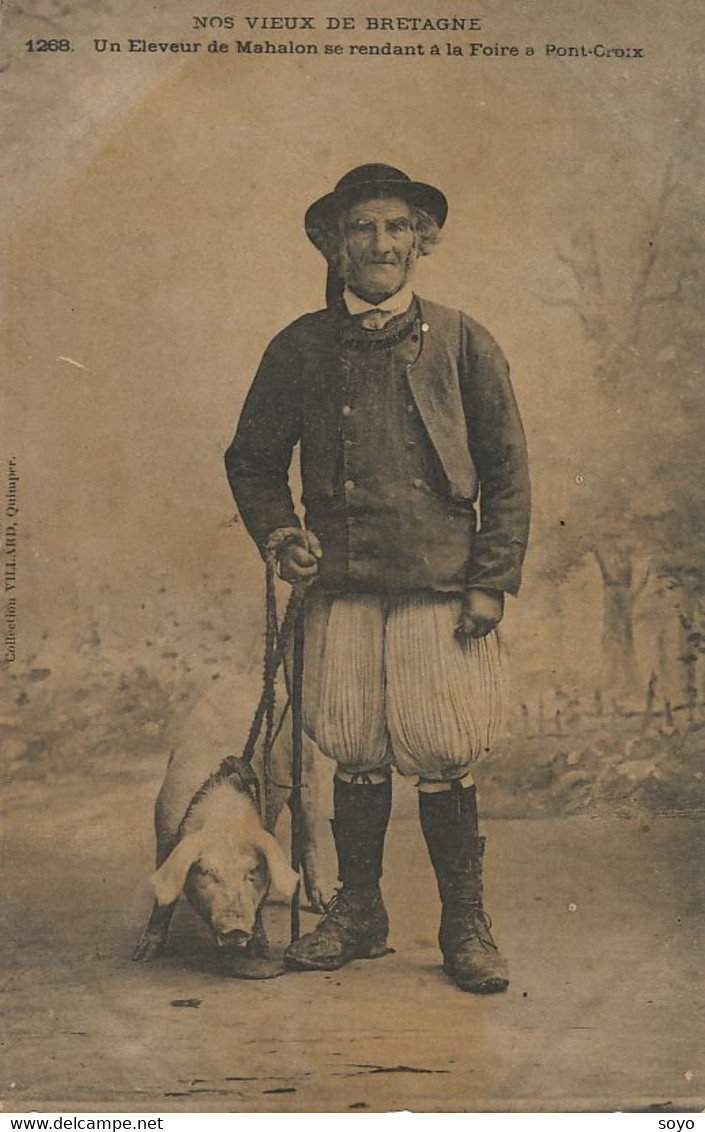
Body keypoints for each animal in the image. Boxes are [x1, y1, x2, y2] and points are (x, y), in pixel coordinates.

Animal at [132, 670, 328, 964]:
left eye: (253, 870)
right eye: (206, 872)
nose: (236, 928)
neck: (223, 818)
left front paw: (260, 952)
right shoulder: (164, 831)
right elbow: (163, 898)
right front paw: (142, 955)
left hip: (306, 771)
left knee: (309, 839)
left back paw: (321, 906)